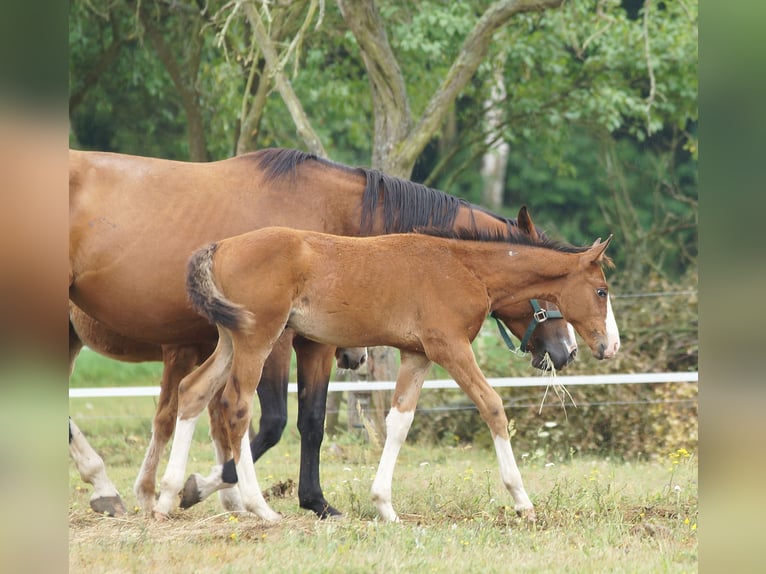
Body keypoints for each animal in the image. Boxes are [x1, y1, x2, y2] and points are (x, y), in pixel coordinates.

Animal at [154, 216, 616, 520]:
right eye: (601, 290)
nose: (605, 347)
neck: (463, 267)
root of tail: (221, 247)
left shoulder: (417, 354)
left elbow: (398, 422)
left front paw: (384, 506)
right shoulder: (450, 347)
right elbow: (492, 406)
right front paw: (522, 500)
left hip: (232, 339)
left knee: (193, 391)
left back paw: (167, 496)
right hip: (258, 338)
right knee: (236, 406)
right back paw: (259, 507)